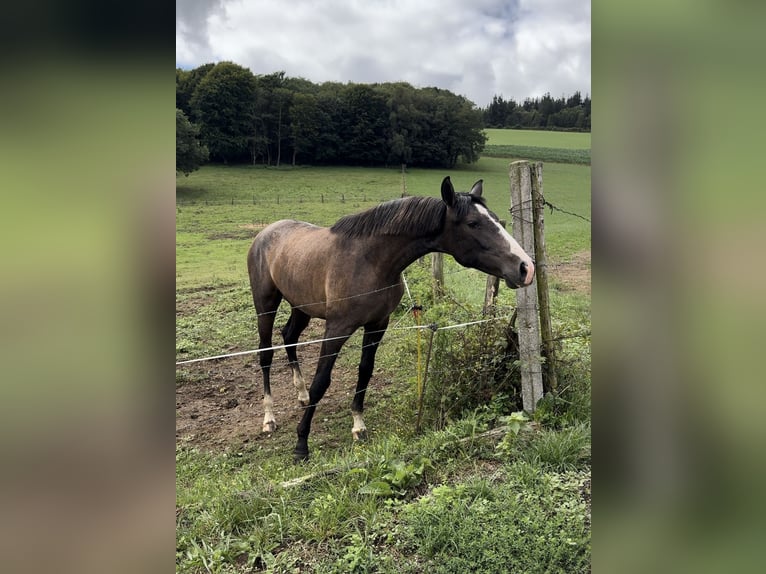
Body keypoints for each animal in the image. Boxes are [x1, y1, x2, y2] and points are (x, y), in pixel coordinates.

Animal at [249, 177, 536, 464]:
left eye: (496, 219)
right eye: (473, 223)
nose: (526, 267)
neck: (369, 260)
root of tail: (266, 233)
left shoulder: (377, 324)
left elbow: (365, 370)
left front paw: (358, 425)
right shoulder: (337, 328)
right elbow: (322, 380)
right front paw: (301, 443)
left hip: (301, 306)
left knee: (289, 336)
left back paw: (301, 394)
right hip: (266, 306)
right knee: (266, 354)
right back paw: (269, 417)